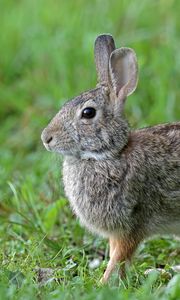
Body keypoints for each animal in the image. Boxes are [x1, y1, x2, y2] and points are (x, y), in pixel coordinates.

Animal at [40, 34, 180, 282]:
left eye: (88, 113)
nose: (46, 138)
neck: (109, 154)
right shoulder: (116, 233)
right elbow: (115, 255)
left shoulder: (131, 226)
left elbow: (118, 258)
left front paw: (102, 283)